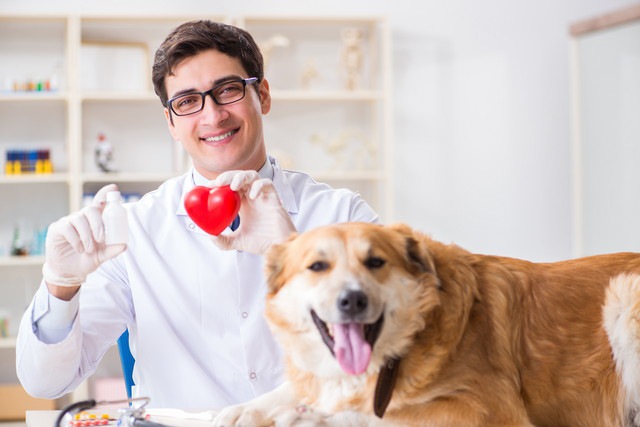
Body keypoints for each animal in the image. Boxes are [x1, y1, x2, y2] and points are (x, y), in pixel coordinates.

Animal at [212, 222, 640, 426]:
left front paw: (315, 418)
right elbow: (295, 388)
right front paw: (244, 410)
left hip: (622, 295)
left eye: (376, 262)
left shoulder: (489, 411)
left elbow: (387, 417)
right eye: (318, 266)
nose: (352, 301)